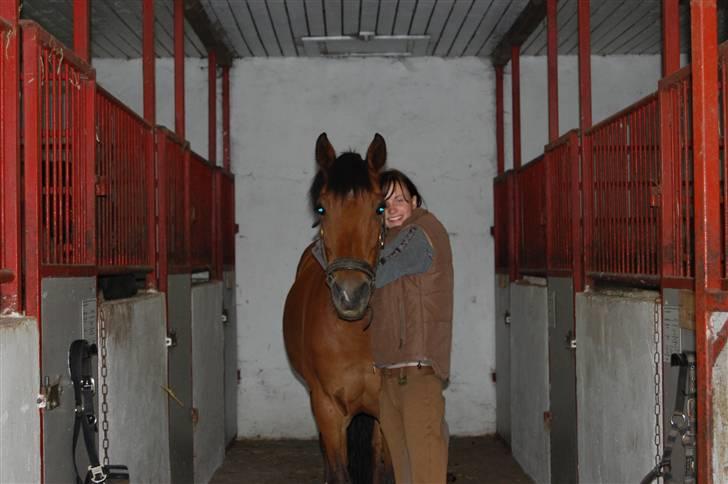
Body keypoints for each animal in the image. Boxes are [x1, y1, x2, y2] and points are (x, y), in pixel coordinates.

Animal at [283, 133, 390, 484]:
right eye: (322, 208)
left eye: (380, 208)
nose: (350, 294)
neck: (356, 335)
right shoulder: (327, 409)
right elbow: (341, 472)